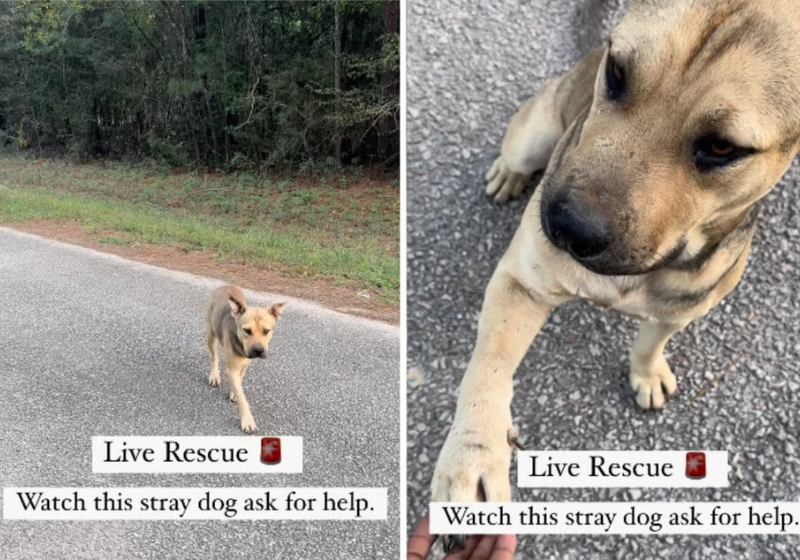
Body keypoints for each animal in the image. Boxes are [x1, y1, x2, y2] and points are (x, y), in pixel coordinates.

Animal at [206, 284, 288, 434]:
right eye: (247, 331)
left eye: (266, 331)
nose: (259, 350)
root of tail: (226, 285)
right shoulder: (232, 369)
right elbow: (243, 399)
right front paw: (247, 421)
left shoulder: (245, 363)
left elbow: (239, 380)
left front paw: (234, 392)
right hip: (211, 334)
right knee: (214, 357)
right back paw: (214, 376)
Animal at [434, 0, 800, 544]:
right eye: (618, 72)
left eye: (723, 148)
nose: (567, 227)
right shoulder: (521, 285)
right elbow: (488, 370)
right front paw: (473, 455)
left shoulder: (682, 309)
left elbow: (651, 340)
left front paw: (646, 372)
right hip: (533, 134)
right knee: (518, 150)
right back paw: (511, 173)